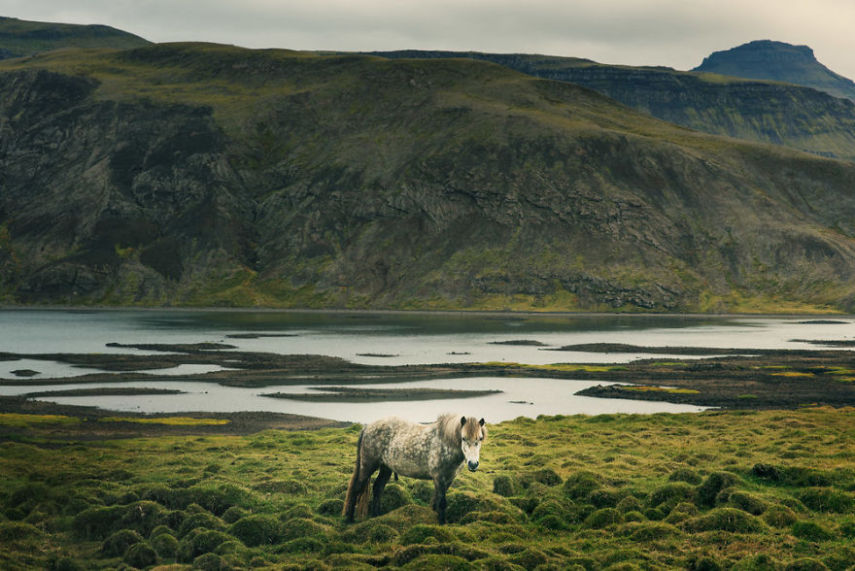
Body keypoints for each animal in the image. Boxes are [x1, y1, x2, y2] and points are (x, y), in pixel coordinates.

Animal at [342, 414, 488, 524]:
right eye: (463, 438)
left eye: (480, 438)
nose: (473, 464)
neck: (445, 442)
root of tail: (367, 427)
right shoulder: (439, 477)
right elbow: (441, 502)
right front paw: (442, 523)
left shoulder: (449, 478)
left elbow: (436, 500)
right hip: (368, 465)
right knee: (356, 487)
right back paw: (349, 519)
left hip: (385, 467)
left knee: (378, 487)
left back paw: (376, 516)